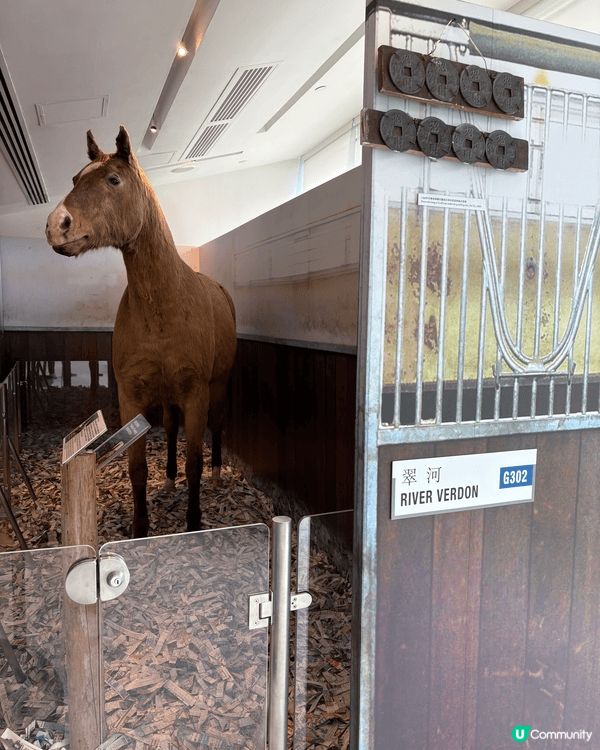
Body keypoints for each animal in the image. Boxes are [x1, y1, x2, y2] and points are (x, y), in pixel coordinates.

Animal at [46, 126, 237, 537]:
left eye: (113, 180)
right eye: (75, 179)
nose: (56, 224)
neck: (162, 306)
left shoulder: (196, 392)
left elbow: (194, 461)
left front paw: (193, 522)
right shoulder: (131, 396)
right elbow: (136, 467)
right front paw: (139, 527)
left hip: (217, 385)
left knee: (216, 424)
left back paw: (216, 474)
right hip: (167, 397)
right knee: (170, 429)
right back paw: (168, 478)